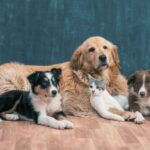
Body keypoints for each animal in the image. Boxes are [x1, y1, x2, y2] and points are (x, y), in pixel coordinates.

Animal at [0, 36, 134, 119]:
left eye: (105, 47)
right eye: (91, 49)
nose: (103, 57)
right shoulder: (77, 103)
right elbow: (108, 109)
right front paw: (127, 114)